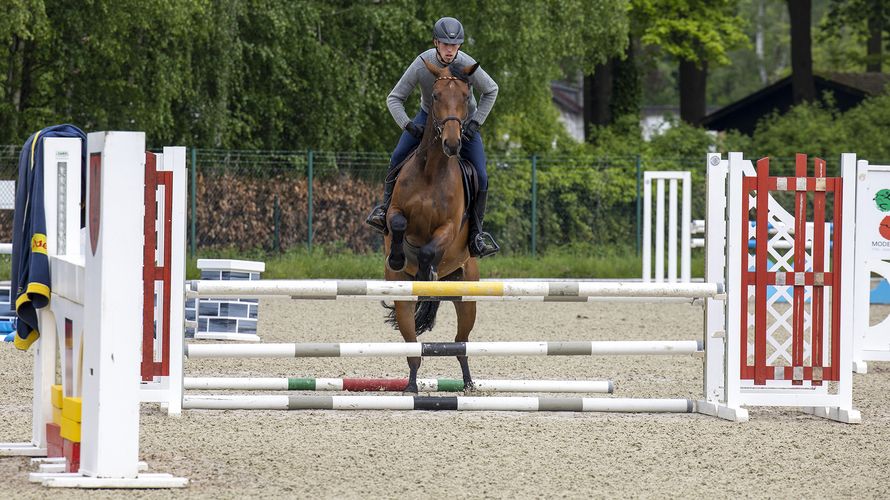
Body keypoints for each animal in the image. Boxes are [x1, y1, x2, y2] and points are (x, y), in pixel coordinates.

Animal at [382, 59, 478, 394]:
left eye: (465, 96)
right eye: (435, 96)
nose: (452, 143)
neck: (433, 169)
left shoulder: (448, 228)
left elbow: (429, 250)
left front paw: (428, 272)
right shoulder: (395, 211)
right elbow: (397, 223)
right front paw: (399, 256)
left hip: (467, 300)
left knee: (461, 344)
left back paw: (468, 383)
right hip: (402, 301)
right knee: (413, 348)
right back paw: (411, 385)